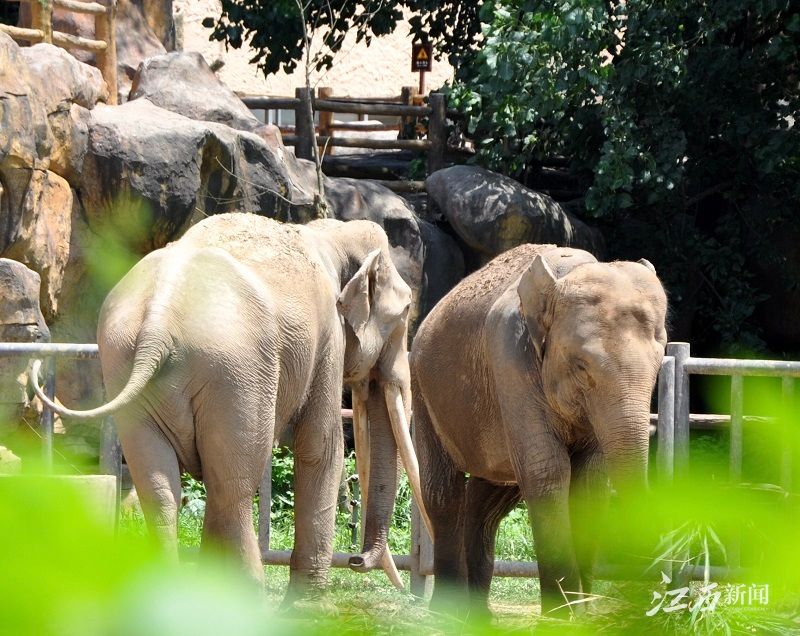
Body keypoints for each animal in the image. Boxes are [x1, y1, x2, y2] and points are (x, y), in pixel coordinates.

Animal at [32, 214, 432, 600]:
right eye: (405, 313)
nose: (355, 560)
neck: (331, 232)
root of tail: (158, 323)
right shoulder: (327, 338)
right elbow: (320, 446)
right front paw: (308, 604)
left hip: (125, 363)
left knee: (161, 488)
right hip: (236, 370)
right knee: (234, 485)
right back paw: (249, 597)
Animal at [410, 243, 664, 616]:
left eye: (660, 363)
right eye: (581, 366)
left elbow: (589, 481)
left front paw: (581, 614)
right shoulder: (510, 361)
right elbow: (547, 470)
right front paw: (560, 617)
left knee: (488, 500)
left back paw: (479, 617)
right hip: (424, 390)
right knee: (443, 491)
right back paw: (447, 614)